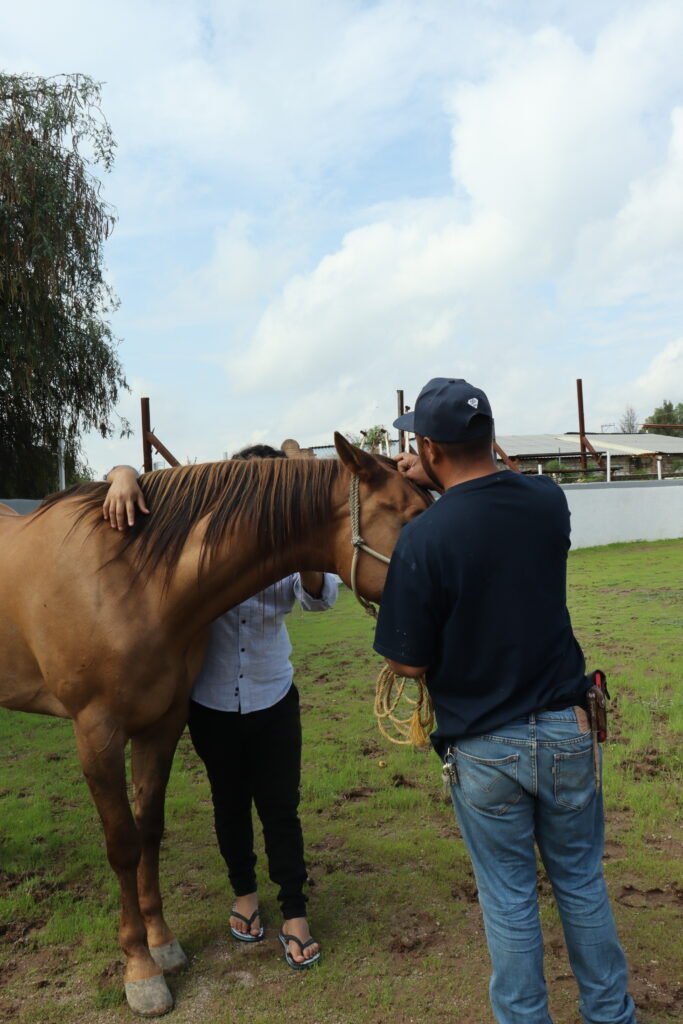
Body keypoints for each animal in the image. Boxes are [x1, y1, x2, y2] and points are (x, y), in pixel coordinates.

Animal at [0, 433, 431, 1017]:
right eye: (412, 516)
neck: (132, 578)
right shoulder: (97, 733)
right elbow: (123, 844)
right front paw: (141, 971)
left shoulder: (162, 725)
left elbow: (149, 831)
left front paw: (162, 944)